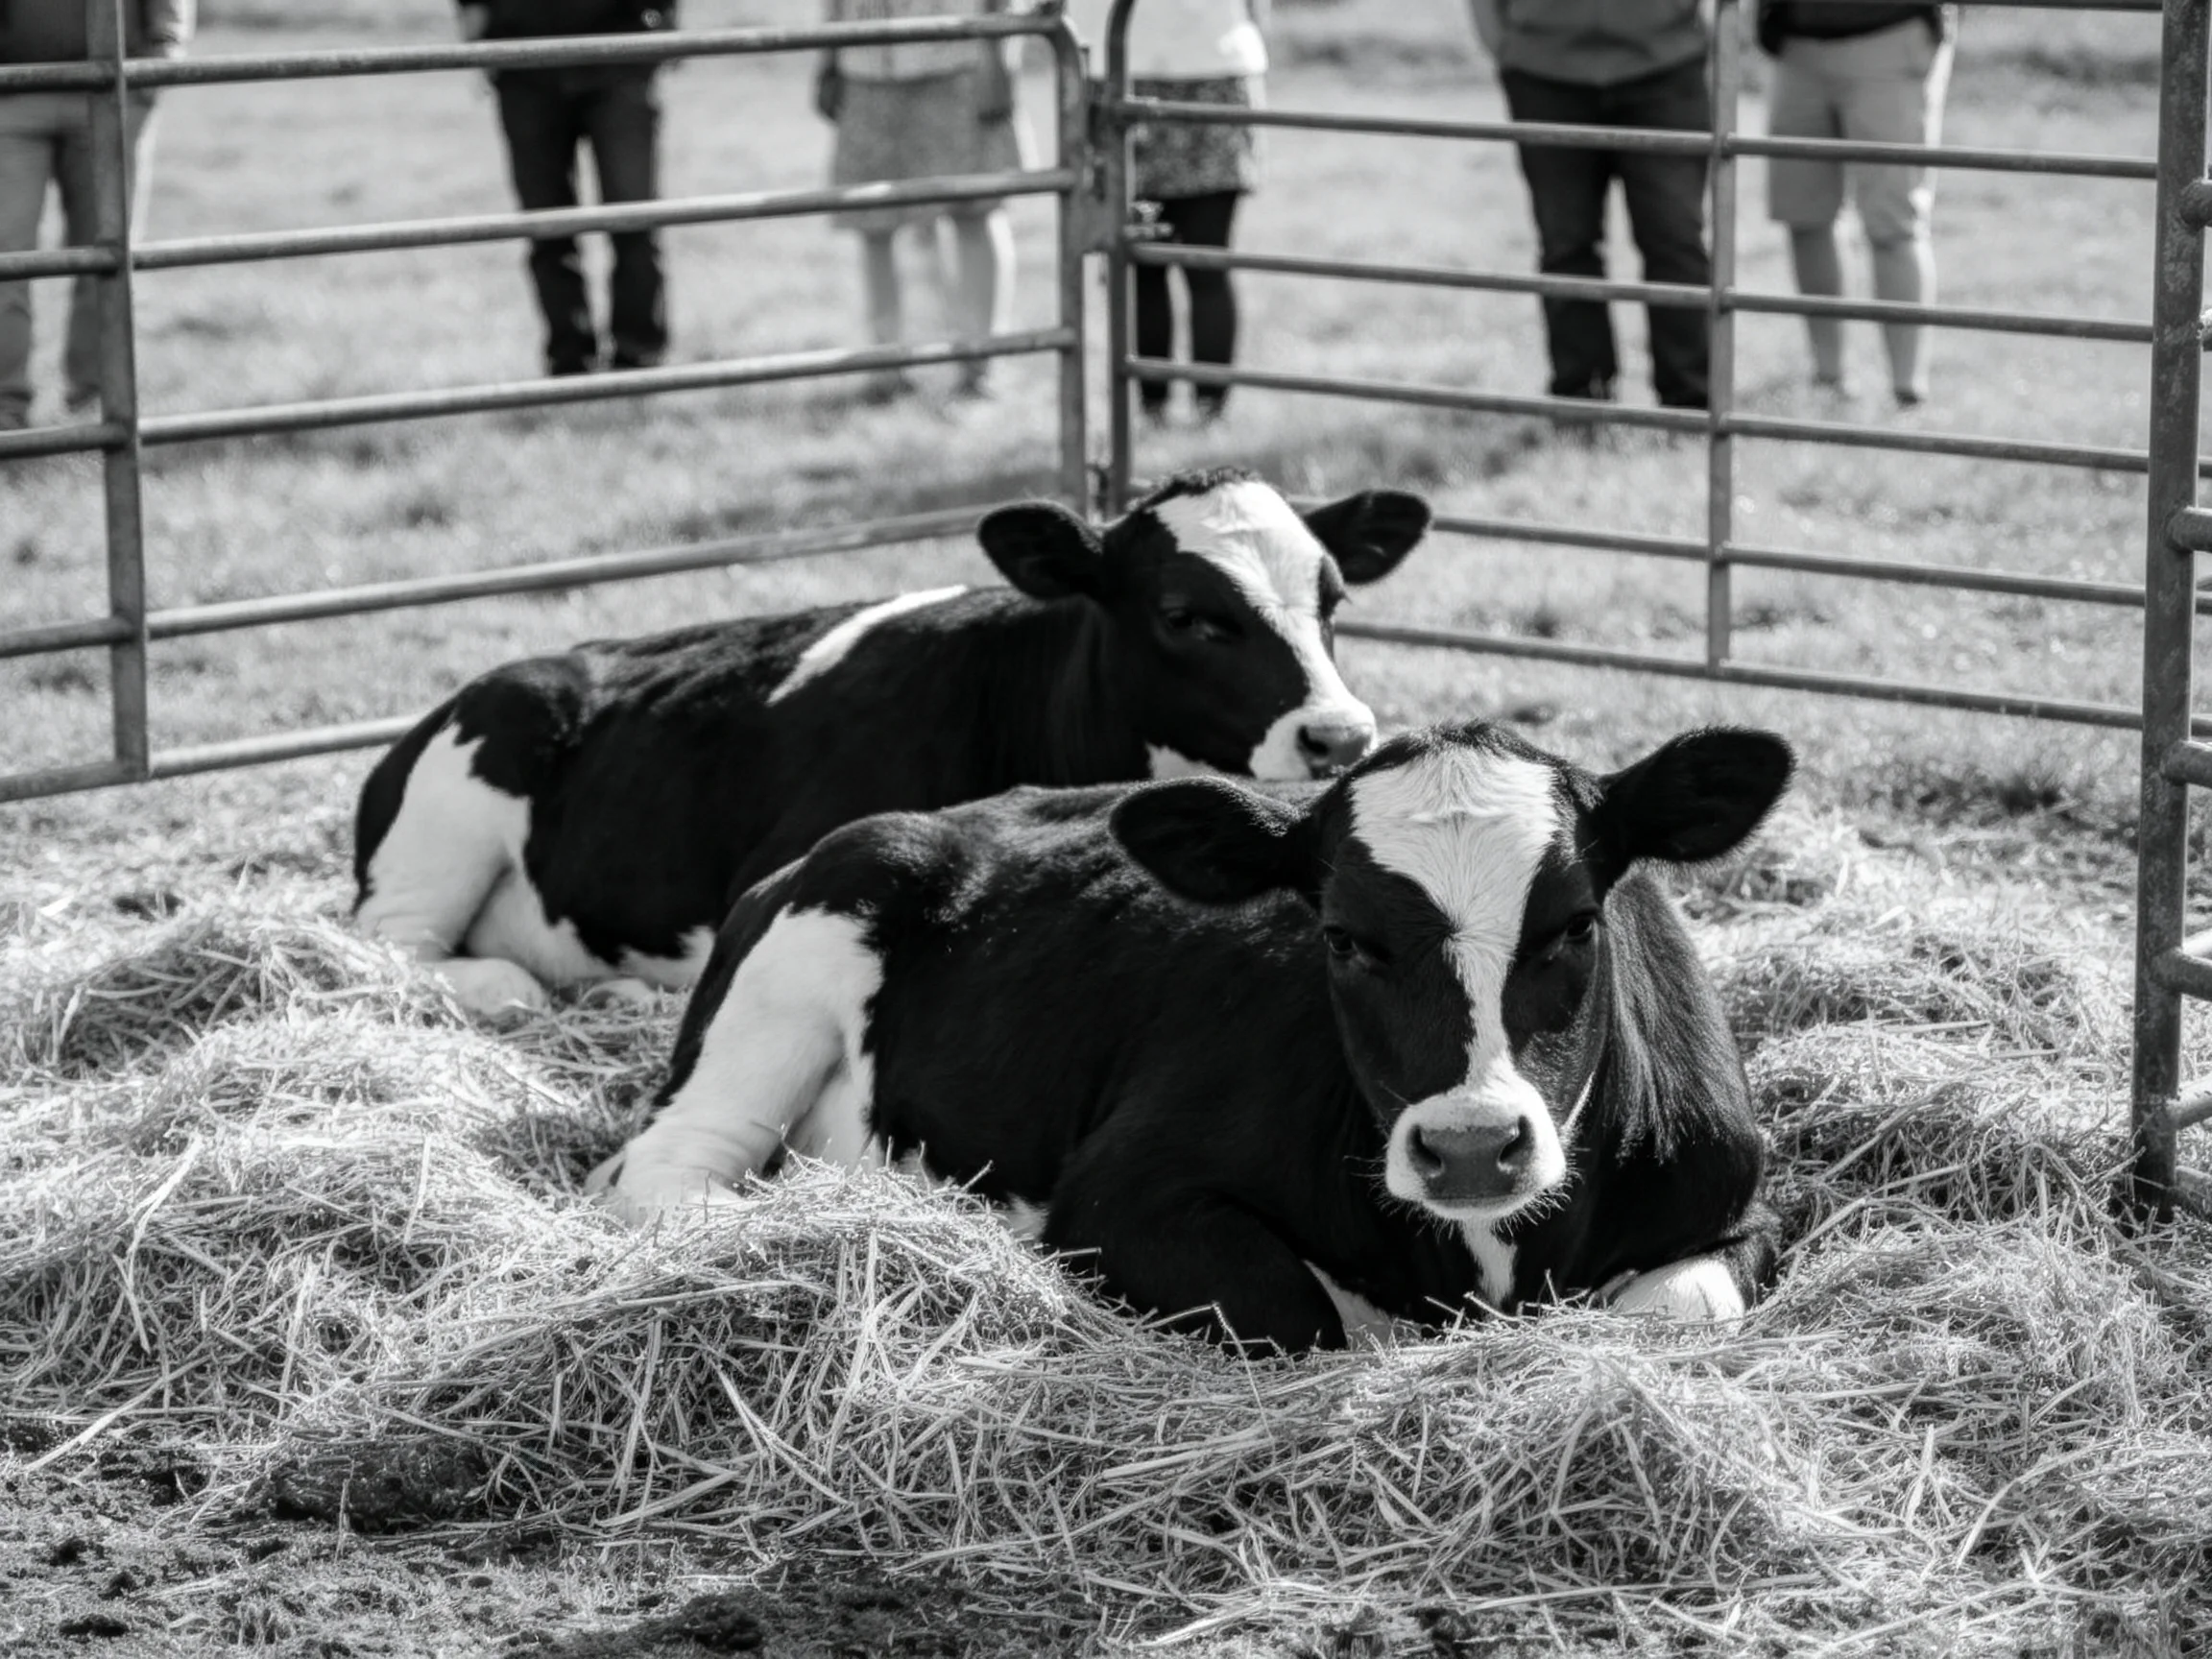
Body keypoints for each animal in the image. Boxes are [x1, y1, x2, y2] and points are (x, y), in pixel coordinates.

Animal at [351, 469, 1431, 1015]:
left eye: (1335, 599)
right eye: (1184, 614)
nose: (1339, 734)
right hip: (466, 788)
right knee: (390, 946)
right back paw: (515, 988)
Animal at [590, 718, 1794, 1353]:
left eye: (1576, 924)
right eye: (1342, 937)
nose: (1467, 1147)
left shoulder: (1735, 1206)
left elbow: (1674, 1313)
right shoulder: (1119, 1197)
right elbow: (1300, 1314)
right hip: (795, 971)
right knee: (671, 1166)